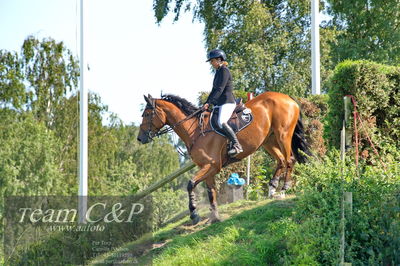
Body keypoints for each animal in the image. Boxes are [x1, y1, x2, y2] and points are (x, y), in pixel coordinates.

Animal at [137, 91, 310, 224]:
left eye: (147, 114)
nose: (140, 138)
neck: (195, 130)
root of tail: (287, 98)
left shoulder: (212, 165)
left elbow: (190, 184)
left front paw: (194, 214)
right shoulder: (207, 168)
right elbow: (211, 192)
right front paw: (214, 217)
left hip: (283, 135)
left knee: (289, 160)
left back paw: (284, 189)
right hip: (269, 140)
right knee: (281, 160)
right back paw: (272, 188)